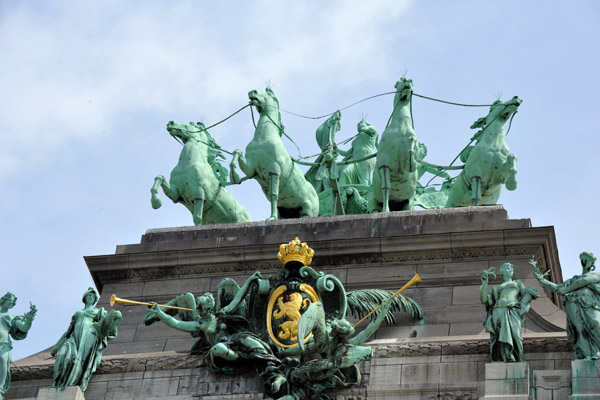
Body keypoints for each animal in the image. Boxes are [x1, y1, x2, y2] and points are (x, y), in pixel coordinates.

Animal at [230, 87, 318, 220]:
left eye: (268, 92)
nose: (252, 92)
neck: (263, 138)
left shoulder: (274, 169)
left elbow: (274, 195)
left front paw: (272, 218)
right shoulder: (251, 169)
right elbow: (237, 152)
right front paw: (234, 176)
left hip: (308, 212)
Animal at [370, 76, 418, 211]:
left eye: (411, 82)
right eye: (400, 80)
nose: (408, 80)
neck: (400, 126)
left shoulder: (412, 140)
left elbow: (412, 147)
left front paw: (412, 164)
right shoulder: (384, 164)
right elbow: (386, 187)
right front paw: (385, 210)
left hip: (409, 203)